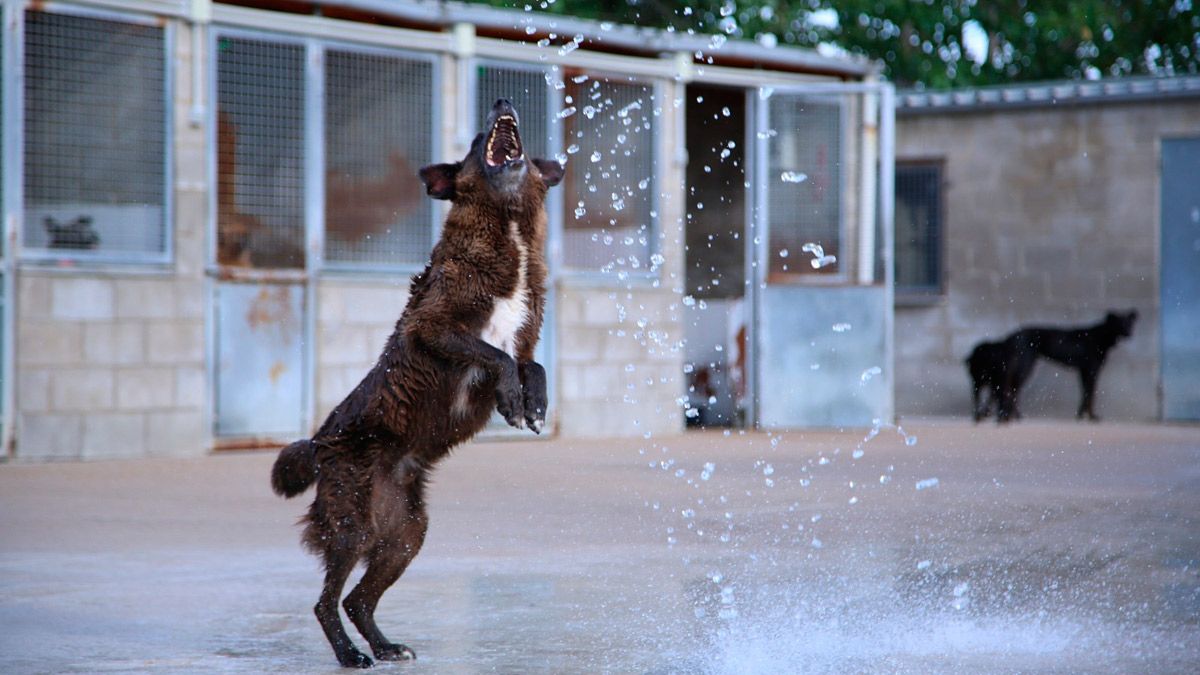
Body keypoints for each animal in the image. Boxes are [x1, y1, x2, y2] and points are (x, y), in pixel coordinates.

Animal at [969, 309, 1137, 420]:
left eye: (1129, 323)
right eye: (1119, 322)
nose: (1129, 333)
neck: (1100, 336)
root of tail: (1010, 336)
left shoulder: (1083, 371)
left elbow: (1086, 393)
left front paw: (1081, 415)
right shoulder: (1091, 370)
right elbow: (1090, 394)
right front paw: (1090, 416)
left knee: (1008, 390)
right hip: (1024, 366)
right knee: (1010, 389)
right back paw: (1010, 415)